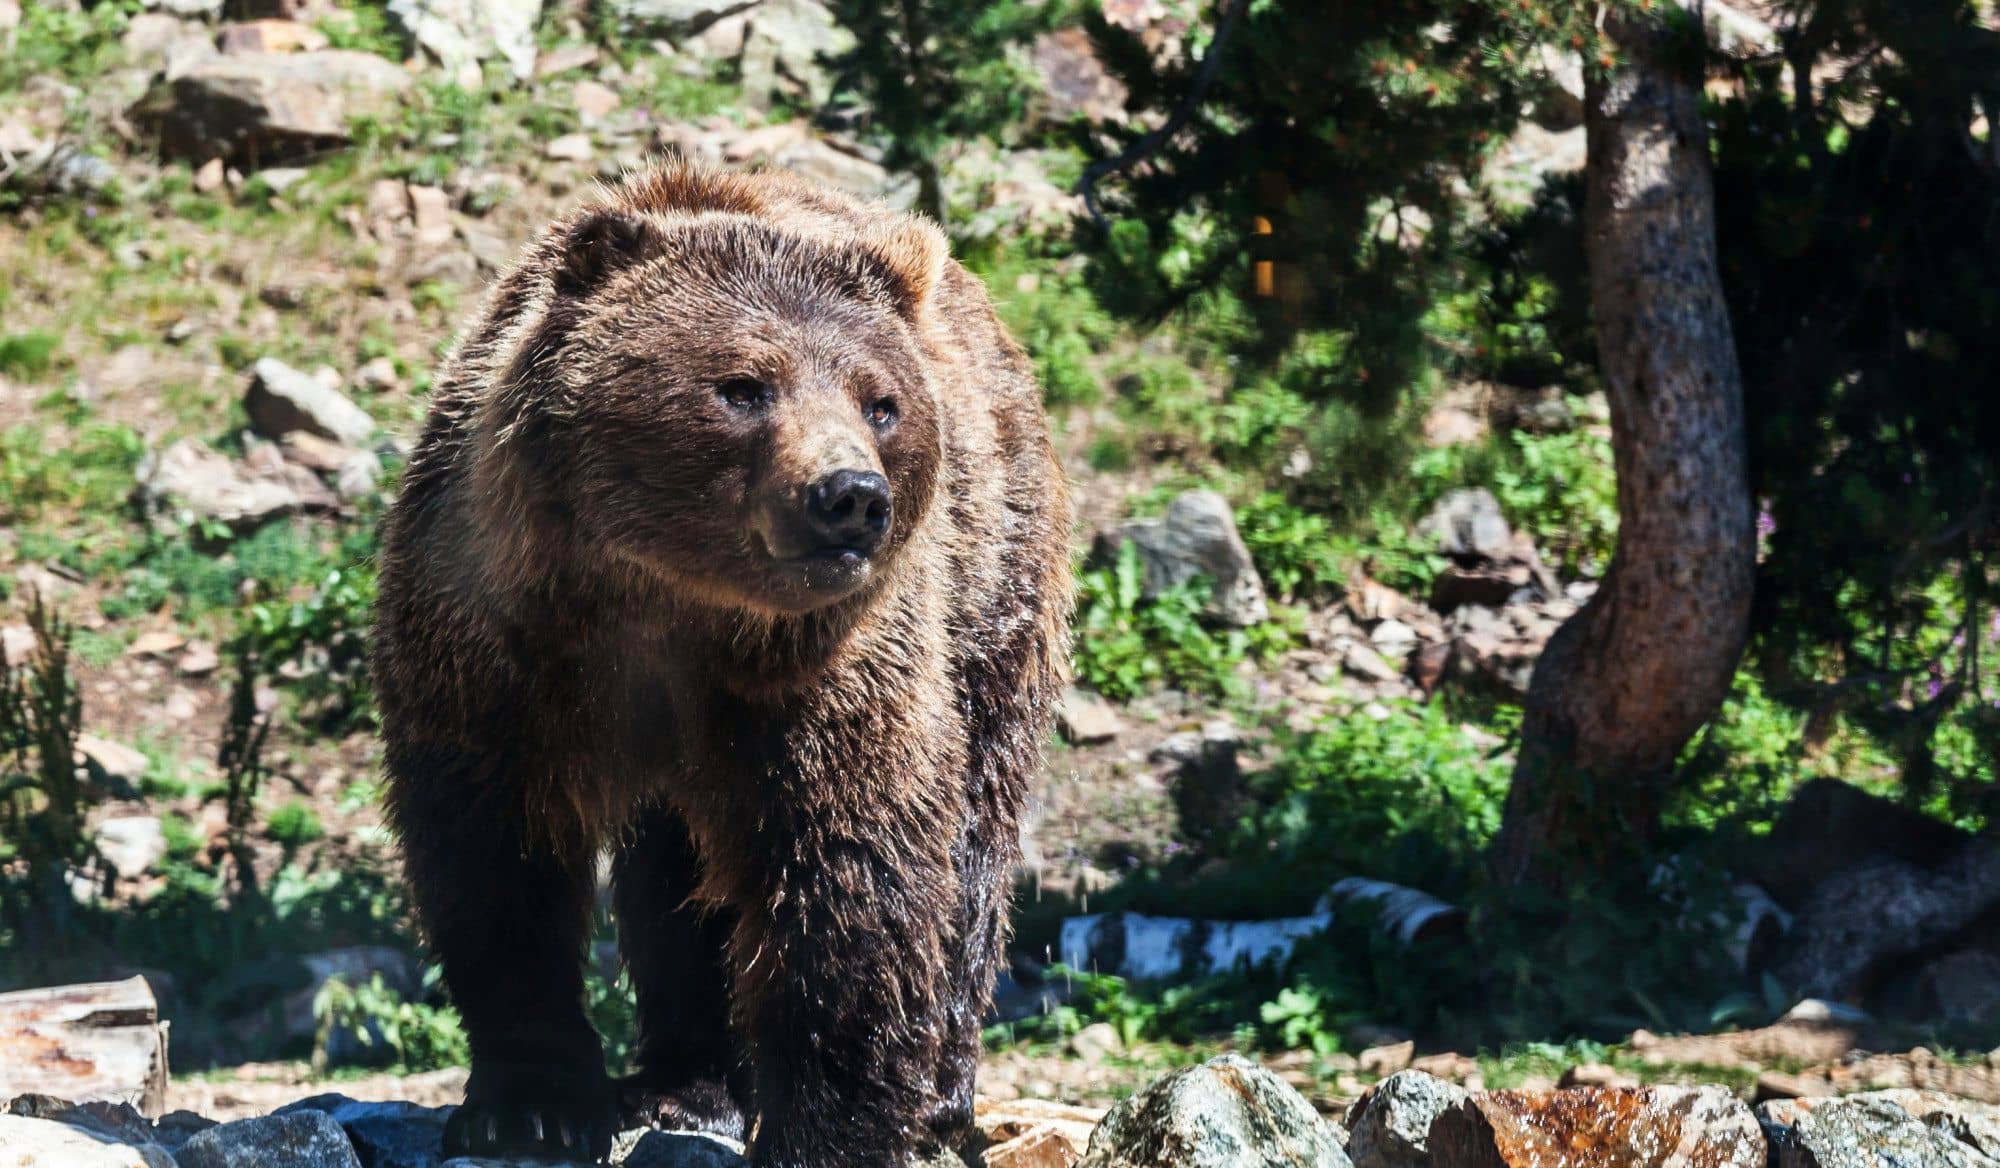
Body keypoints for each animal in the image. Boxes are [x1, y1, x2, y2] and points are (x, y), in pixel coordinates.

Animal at [368, 162, 1072, 1168]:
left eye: (881, 401)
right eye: (742, 385)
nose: (849, 497)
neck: (672, 601)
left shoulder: (831, 671)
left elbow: (850, 872)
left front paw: (826, 1130)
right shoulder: (498, 638)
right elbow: (492, 851)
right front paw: (531, 1104)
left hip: (995, 594)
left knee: (974, 836)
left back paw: (938, 1092)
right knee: (677, 877)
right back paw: (685, 1083)